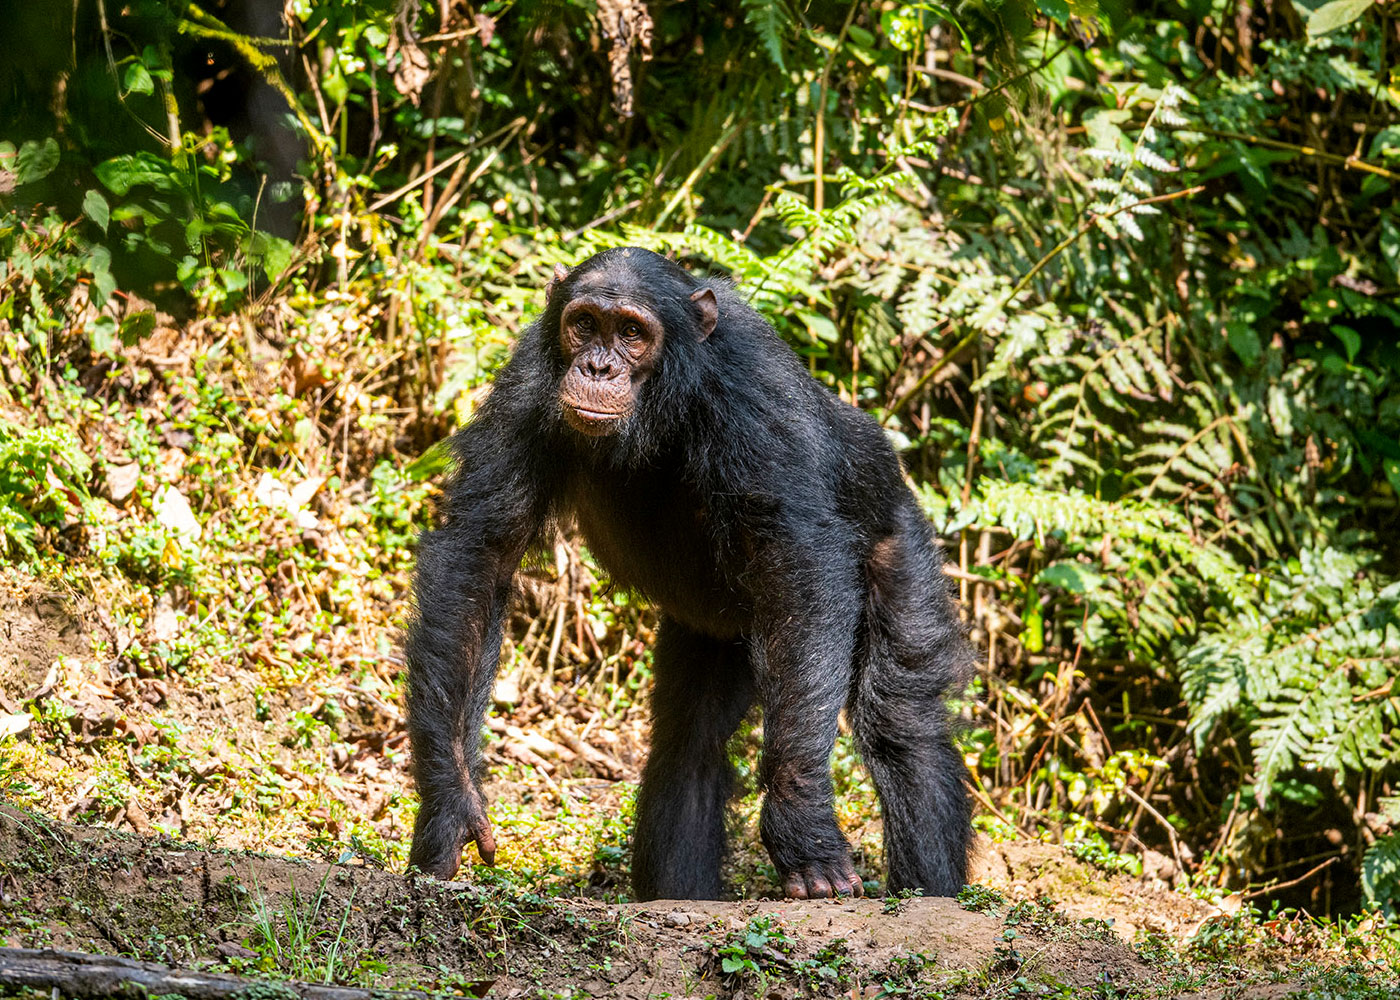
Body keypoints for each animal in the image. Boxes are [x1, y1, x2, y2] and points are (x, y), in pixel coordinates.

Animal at [406, 247, 974, 896]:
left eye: (631, 333)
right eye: (585, 324)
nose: (597, 365)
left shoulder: (753, 389)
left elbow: (799, 565)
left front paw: (802, 824)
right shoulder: (528, 383)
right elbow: (481, 552)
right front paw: (451, 805)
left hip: (895, 533)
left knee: (905, 722)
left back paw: (928, 892)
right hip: (713, 633)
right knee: (690, 744)